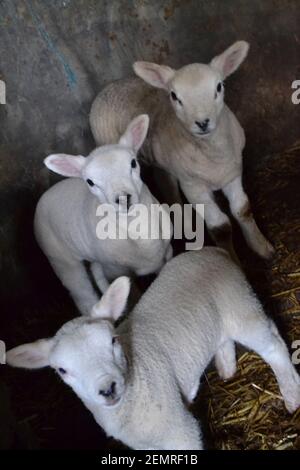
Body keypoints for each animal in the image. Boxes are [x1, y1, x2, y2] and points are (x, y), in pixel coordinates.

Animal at [5, 248, 298, 450]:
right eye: (62, 370)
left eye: (112, 341)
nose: (107, 388)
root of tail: (211, 251)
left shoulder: (181, 432)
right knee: (223, 339)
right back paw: (226, 370)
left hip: (240, 306)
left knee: (273, 344)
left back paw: (291, 393)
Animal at [34, 113, 172, 316]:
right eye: (90, 182)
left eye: (133, 163)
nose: (123, 198)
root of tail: (47, 194)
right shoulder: (115, 271)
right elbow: (131, 295)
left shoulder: (166, 253)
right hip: (60, 258)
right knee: (81, 292)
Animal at [89, 40, 274, 260]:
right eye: (174, 96)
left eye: (219, 86)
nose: (202, 122)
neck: (214, 155)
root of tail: (109, 86)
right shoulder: (193, 187)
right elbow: (220, 226)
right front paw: (232, 260)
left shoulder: (233, 173)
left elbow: (242, 209)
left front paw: (261, 247)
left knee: (165, 182)